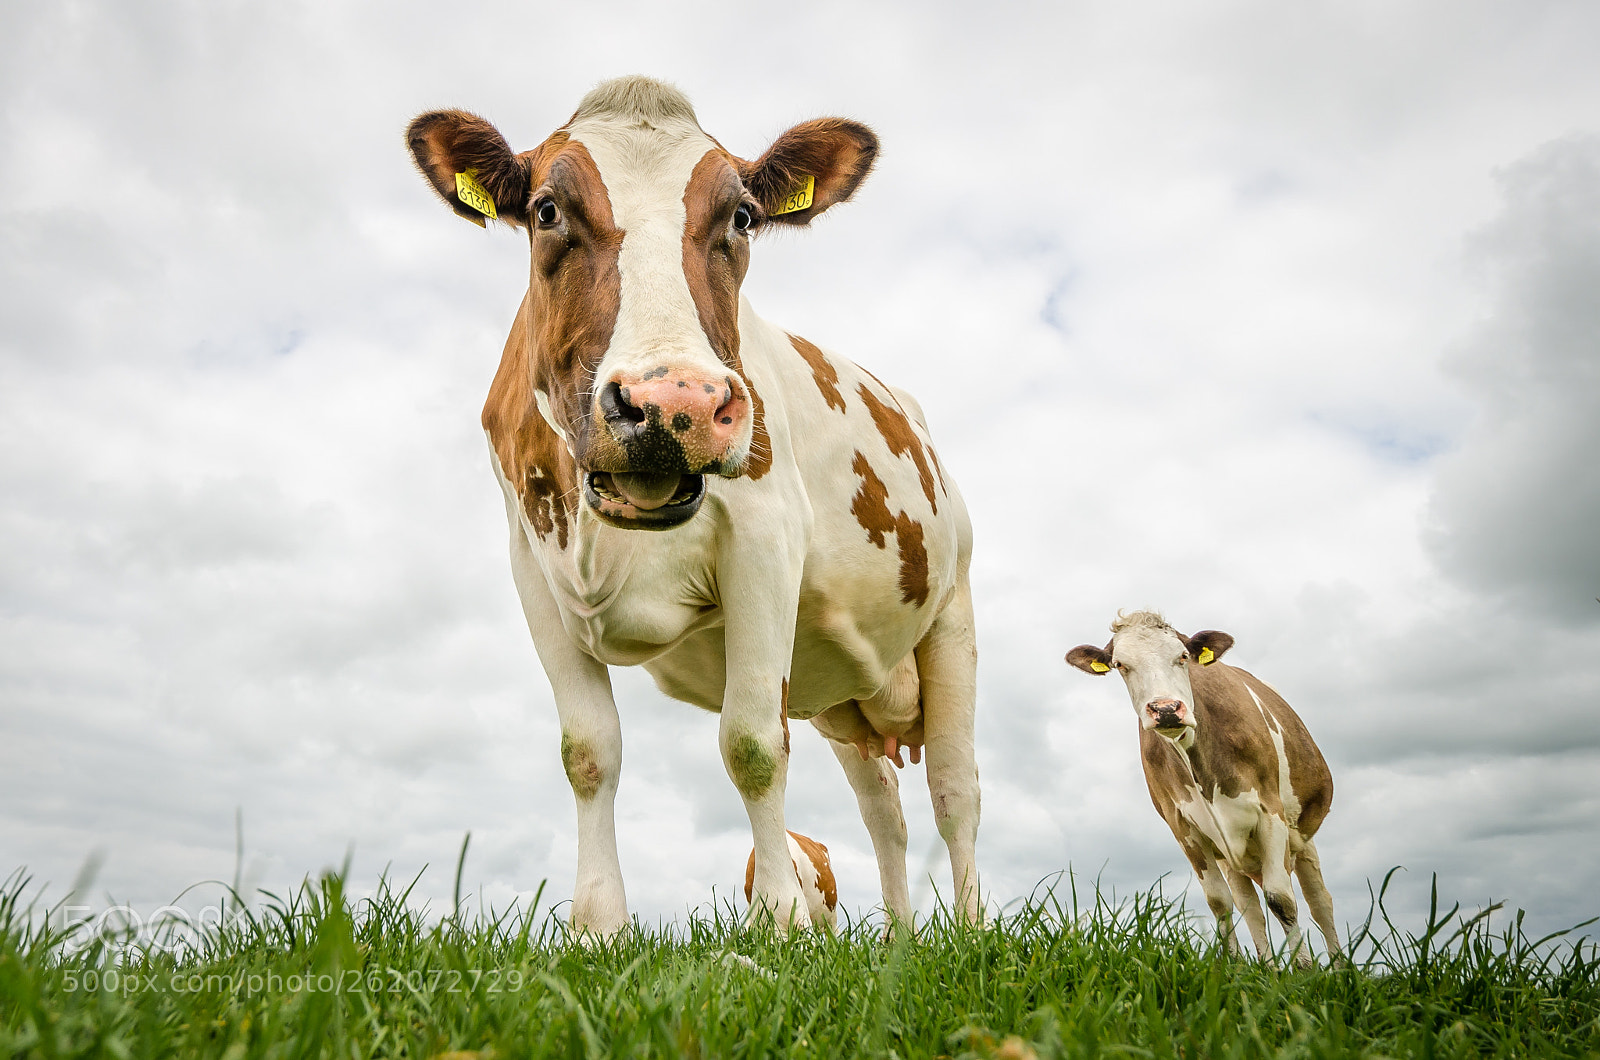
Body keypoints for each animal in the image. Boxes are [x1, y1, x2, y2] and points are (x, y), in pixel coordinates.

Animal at [1068, 611, 1344, 967]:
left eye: (1183, 656)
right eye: (1120, 664)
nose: (1166, 709)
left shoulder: (1271, 814)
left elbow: (1281, 898)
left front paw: (1305, 970)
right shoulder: (1184, 828)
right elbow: (1220, 904)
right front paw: (1237, 968)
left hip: (1301, 836)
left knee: (1320, 902)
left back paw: (1340, 969)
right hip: (1232, 855)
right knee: (1249, 906)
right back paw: (1269, 970)